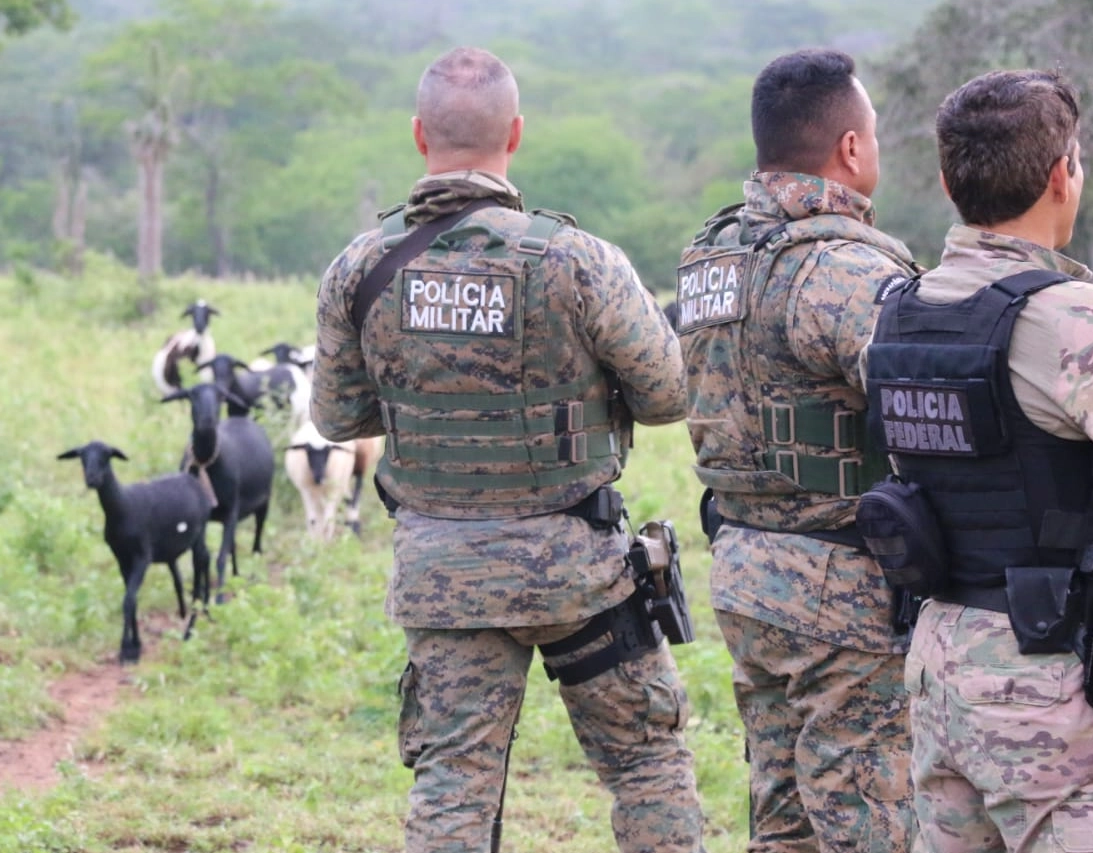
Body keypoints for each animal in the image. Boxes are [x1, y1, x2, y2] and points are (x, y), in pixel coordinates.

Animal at [58, 439, 213, 664]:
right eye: (82, 457)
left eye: (107, 456)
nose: (92, 479)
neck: (123, 506)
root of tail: (192, 478)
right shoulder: (121, 557)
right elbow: (132, 599)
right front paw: (135, 645)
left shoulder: (142, 556)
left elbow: (128, 600)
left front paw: (126, 650)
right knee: (206, 558)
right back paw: (206, 613)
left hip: (199, 531)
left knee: (201, 562)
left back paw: (191, 628)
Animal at [161, 382, 275, 603]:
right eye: (191, 395)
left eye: (221, 396)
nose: (207, 421)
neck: (207, 463)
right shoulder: (201, 517)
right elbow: (200, 557)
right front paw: (198, 597)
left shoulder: (232, 508)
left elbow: (220, 557)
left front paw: (220, 599)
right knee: (232, 545)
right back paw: (236, 576)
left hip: (264, 501)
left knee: (256, 540)